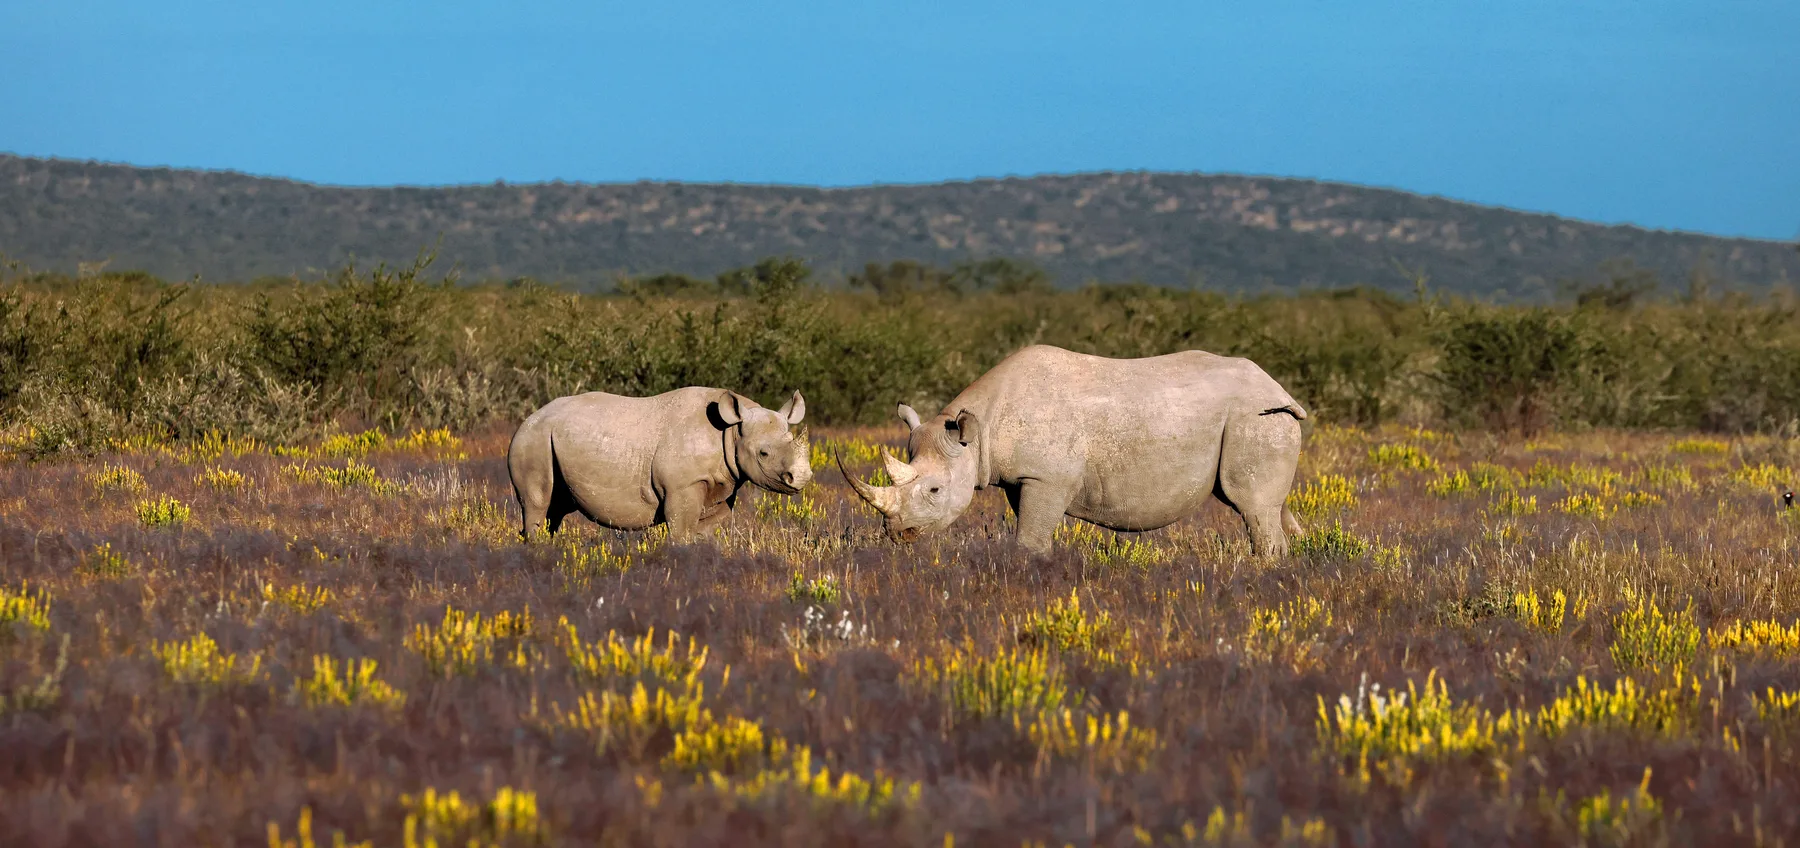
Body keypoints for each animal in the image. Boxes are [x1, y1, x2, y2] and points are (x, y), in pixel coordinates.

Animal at [508, 388, 812, 541]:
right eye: (763, 453)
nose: (801, 477)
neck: (730, 431)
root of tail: (529, 418)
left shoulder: (723, 484)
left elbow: (705, 529)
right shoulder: (682, 485)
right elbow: (681, 531)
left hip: (547, 438)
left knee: (556, 509)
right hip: (532, 439)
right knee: (538, 502)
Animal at [838, 345, 1307, 557]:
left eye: (934, 491)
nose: (898, 534)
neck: (977, 433)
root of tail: (1279, 390)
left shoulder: (1046, 476)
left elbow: (1029, 536)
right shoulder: (1024, 478)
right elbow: (1034, 529)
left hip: (1252, 417)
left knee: (1252, 507)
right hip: (1260, 419)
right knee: (1269, 505)